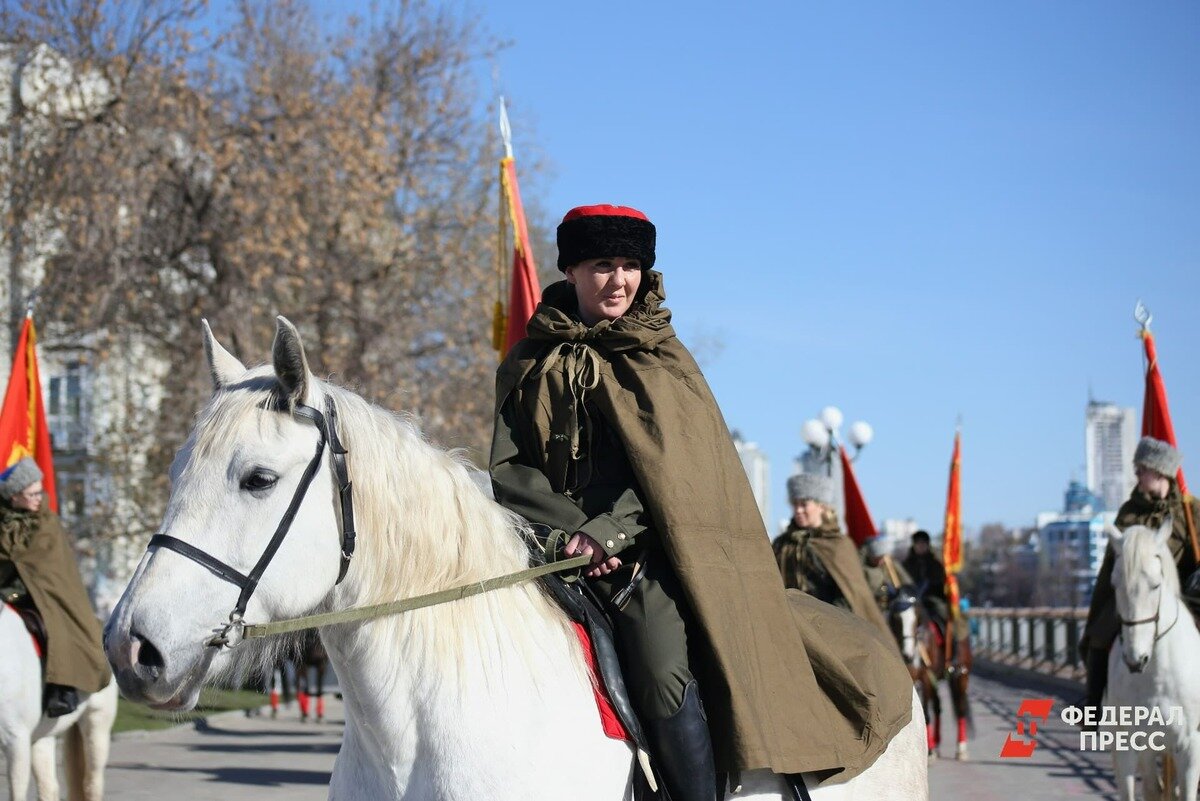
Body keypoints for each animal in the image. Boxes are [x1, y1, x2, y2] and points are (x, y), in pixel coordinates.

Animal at [1104, 515, 1200, 796]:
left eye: (1156, 584)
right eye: (1115, 584)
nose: (1135, 659)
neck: (1156, 678)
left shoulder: (1190, 747)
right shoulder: (1128, 745)